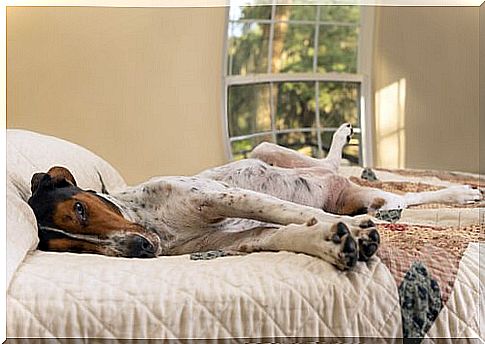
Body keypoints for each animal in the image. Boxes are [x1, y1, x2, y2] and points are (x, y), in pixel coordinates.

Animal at [26, 123, 480, 272]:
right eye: (72, 249)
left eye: (80, 208)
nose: (141, 249)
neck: (156, 227)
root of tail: (341, 185)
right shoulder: (235, 240)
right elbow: (290, 230)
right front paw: (333, 240)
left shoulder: (224, 196)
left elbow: (290, 210)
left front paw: (351, 228)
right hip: (354, 190)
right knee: (381, 197)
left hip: (264, 150)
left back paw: (463, 190)